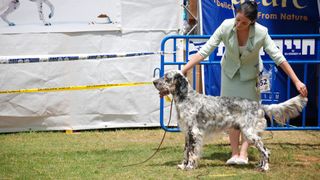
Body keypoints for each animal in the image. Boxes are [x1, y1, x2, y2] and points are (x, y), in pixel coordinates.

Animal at [154, 69, 308, 171]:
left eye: (166, 78)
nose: (154, 81)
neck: (186, 98)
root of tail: (259, 105)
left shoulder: (194, 132)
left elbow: (192, 152)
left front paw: (190, 167)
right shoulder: (187, 133)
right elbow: (186, 151)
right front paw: (182, 165)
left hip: (249, 132)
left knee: (265, 150)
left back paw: (264, 168)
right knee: (262, 150)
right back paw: (260, 165)